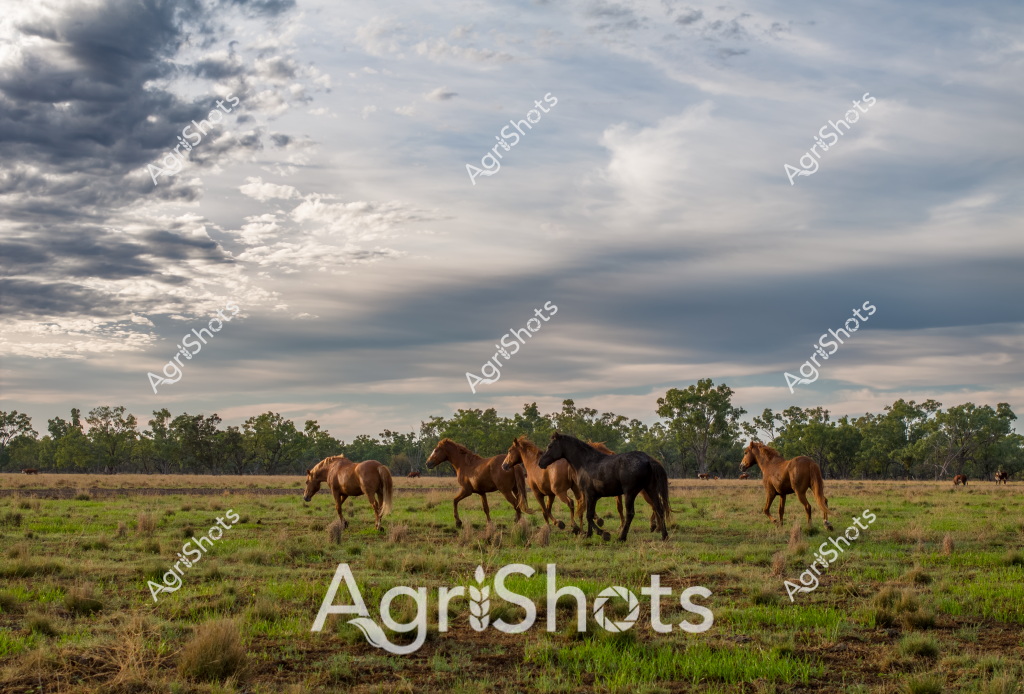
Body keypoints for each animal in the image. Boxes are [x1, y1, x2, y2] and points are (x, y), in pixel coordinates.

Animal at [537, 432, 671, 542]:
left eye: (550, 446)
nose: (540, 463)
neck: (585, 462)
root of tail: (648, 460)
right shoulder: (593, 496)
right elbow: (590, 514)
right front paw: (589, 534)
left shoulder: (589, 494)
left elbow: (589, 515)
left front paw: (603, 534)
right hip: (651, 490)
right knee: (659, 509)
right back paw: (664, 535)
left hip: (630, 493)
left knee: (630, 514)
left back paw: (622, 537)